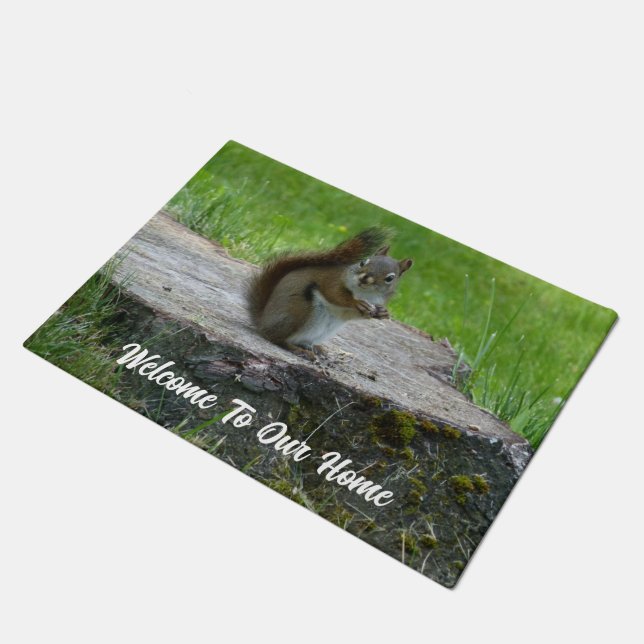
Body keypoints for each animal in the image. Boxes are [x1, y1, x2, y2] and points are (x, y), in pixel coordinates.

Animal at [246, 228, 413, 355]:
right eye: (363, 262)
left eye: (390, 278)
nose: (365, 279)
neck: (364, 292)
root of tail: (263, 322)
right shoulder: (332, 280)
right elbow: (335, 294)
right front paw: (355, 302)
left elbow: (356, 314)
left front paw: (382, 312)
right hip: (298, 312)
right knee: (276, 338)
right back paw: (298, 349)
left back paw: (315, 348)